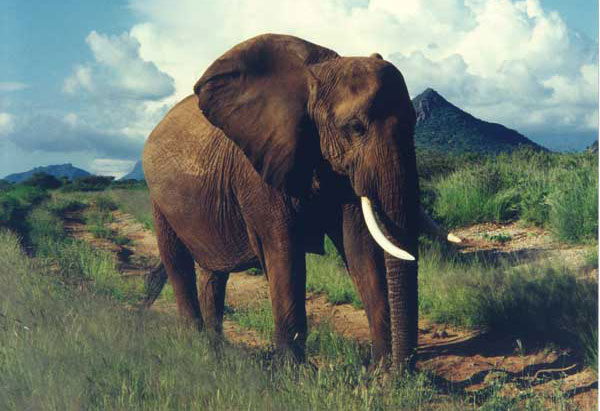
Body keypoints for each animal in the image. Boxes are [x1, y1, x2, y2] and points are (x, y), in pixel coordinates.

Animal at [142, 33, 460, 372]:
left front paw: (379, 371)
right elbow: (285, 252)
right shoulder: (258, 169)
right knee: (177, 261)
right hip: (157, 197)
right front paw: (295, 374)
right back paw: (197, 348)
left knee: (212, 271)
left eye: (415, 122)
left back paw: (216, 350)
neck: (315, 76)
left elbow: (360, 249)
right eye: (356, 128)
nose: (402, 371)